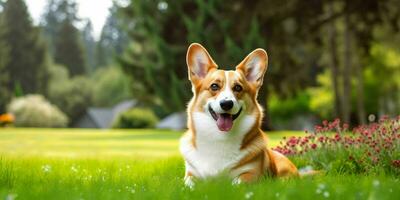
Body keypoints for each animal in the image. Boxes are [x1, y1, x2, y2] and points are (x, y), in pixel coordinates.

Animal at [180, 42, 298, 188]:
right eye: (214, 86)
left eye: (238, 88)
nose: (226, 104)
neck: (220, 138)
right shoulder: (190, 174)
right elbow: (189, 183)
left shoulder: (251, 174)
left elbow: (237, 183)